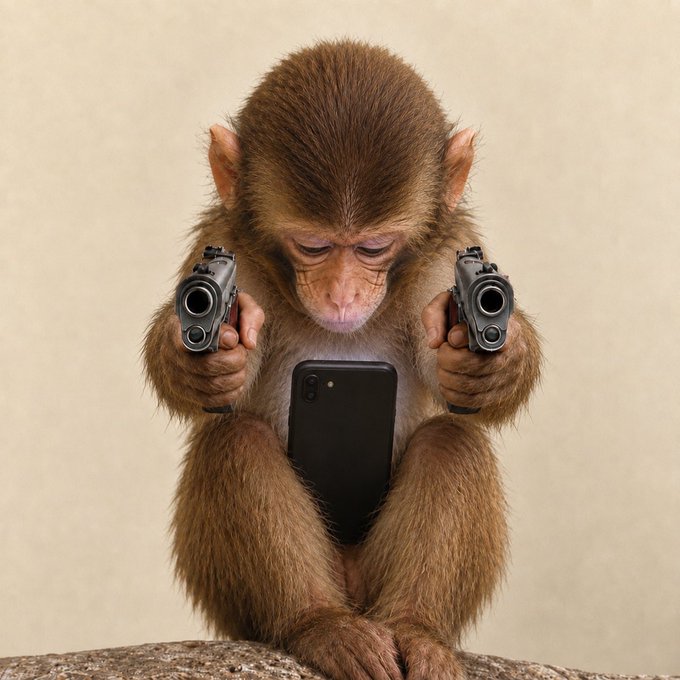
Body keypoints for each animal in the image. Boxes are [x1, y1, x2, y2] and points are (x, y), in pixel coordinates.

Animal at [143, 40, 542, 680]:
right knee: (235, 441)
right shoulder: (227, 244)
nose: (342, 295)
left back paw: (418, 630)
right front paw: (200, 365)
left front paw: (489, 367)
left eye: (374, 247)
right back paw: (318, 623)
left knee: (452, 443)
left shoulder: (444, 257)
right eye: (313, 245)